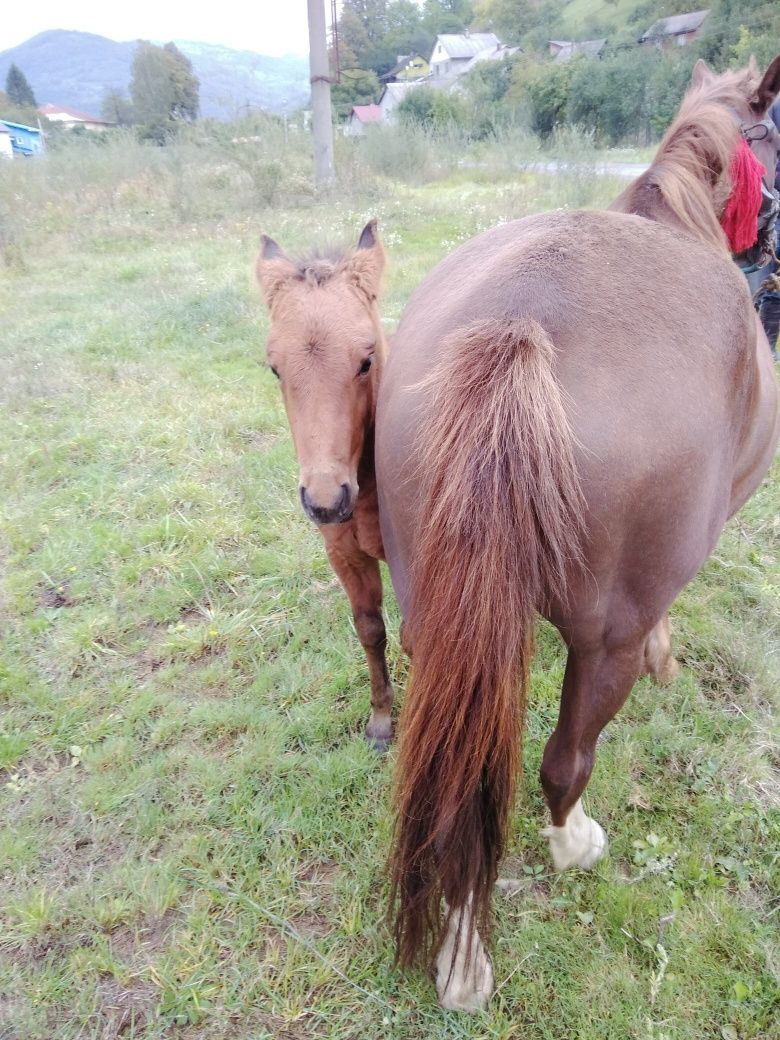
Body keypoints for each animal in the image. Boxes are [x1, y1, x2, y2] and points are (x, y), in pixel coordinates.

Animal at [256, 223, 393, 752]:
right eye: (274, 367)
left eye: (366, 360)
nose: (326, 502)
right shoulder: (344, 556)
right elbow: (370, 630)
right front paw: (381, 721)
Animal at [376, 54, 777, 1006]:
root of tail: (525, 322)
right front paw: (671, 656)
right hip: (604, 639)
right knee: (564, 762)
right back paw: (572, 845)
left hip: (434, 615)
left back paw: (461, 956)